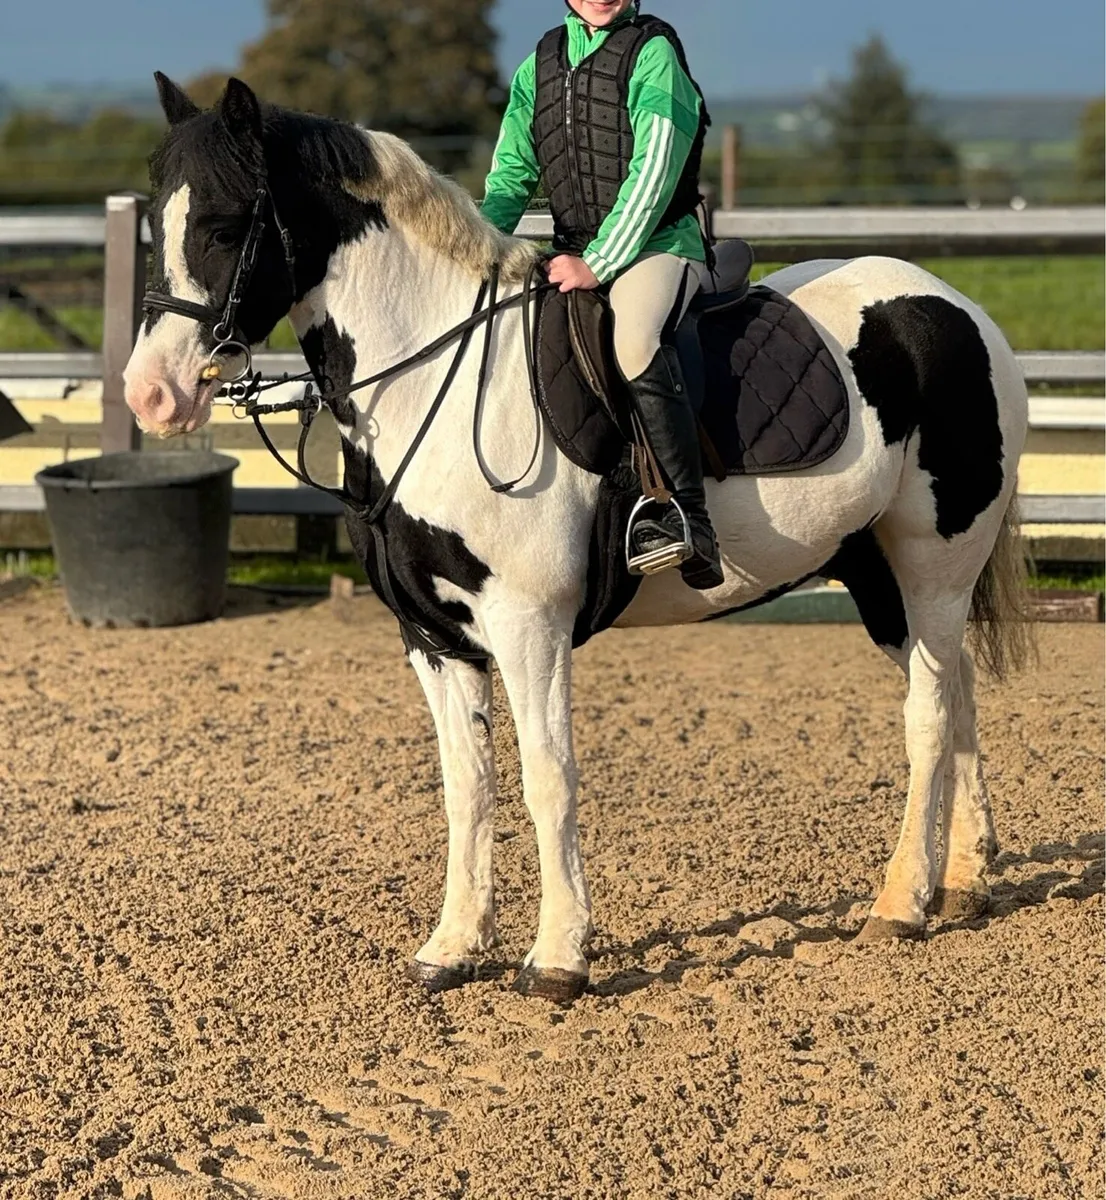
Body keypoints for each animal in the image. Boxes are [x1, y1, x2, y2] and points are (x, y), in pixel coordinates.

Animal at [124, 75, 1031, 1002]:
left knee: (928, 715)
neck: (434, 379)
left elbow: (546, 779)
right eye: (156, 220)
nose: (151, 396)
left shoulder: (530, 627)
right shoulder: (433, 638)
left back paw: (902, 902)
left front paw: (558, 956)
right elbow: (468, 788)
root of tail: (957, 310)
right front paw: (453, 946)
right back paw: (966, 881)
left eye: (226, 225)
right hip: (878, 577)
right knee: (957, 695)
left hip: (932, 567)